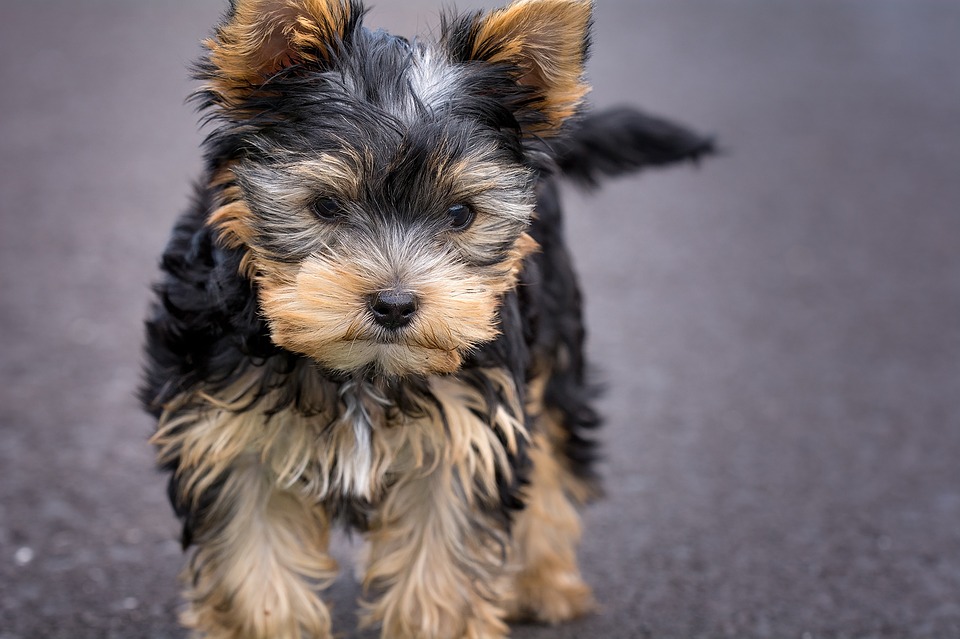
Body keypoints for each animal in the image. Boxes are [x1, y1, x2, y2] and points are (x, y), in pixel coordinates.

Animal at [142, 2, 712, 636]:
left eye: (461, 214)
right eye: (325, 206)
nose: (394, 304)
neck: (363, 371)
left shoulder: (466, 438)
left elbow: (441, 572)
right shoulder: (231, 439)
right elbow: (254, 572)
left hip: (555, 335)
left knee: (553, 452)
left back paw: (544, 582)